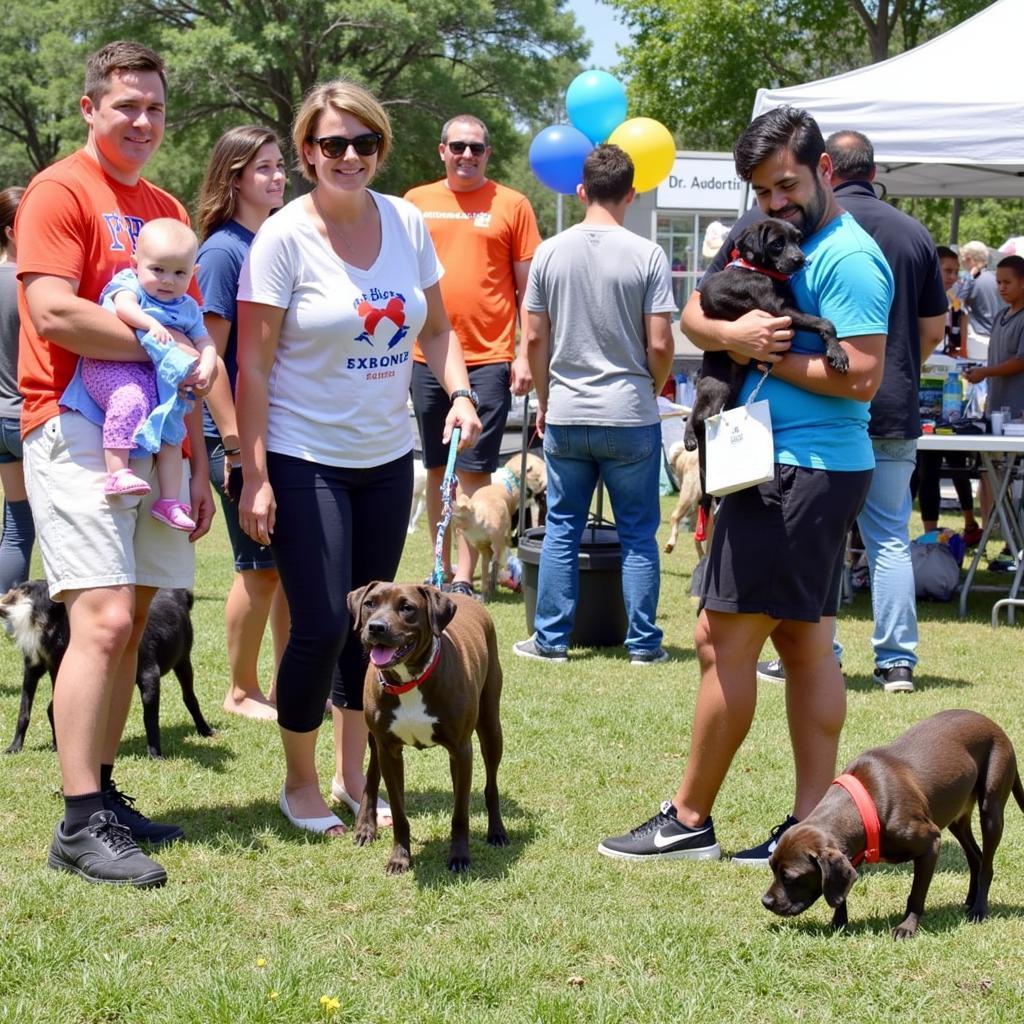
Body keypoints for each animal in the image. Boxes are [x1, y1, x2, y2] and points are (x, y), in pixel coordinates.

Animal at [2, 581, 212, 757]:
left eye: (23, 590)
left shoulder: (149, 675)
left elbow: (150, 717)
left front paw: (155, 754)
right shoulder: (35, 670)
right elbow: (25, 713)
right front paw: (15, 747)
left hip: (183, 661)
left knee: (189, 697)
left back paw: (205, 730)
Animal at [346, 581, 505, 876]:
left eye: (407, 607)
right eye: (370, 603)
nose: (376, 627)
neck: (408, 680)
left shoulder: (461, 749)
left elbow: (460, 812)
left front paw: (460, 856)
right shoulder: (389, 749)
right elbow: (398, 812)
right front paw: (399, 858)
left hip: (491, 726)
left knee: (491, 782)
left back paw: (497, 831)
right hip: (373, 737)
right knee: (371, 775)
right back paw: (365, 825)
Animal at [684, 218, 843, 501]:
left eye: (798, 239)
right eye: (777, 243)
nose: (800, 260)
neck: (760, 270)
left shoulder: (787, 310)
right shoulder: (775, 310)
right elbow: (825, 322)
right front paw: (837, 353)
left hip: (729, 391)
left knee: (697, 411)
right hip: (718, 388)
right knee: (699, 416)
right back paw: (693, 438)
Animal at [761, 712, 1024, 937]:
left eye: (791, 877)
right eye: (771, 867)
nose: (766, 902)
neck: (866, 802)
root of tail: (994, 725)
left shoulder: (931, 843)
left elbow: (916, 895)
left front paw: (907, 927)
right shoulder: (851, 855)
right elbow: (842, 892)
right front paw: (838, 924)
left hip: (991, 810)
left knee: (987, 865)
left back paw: (979, 909)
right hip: (957, 818)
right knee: (976, 858)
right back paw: (970, 900)